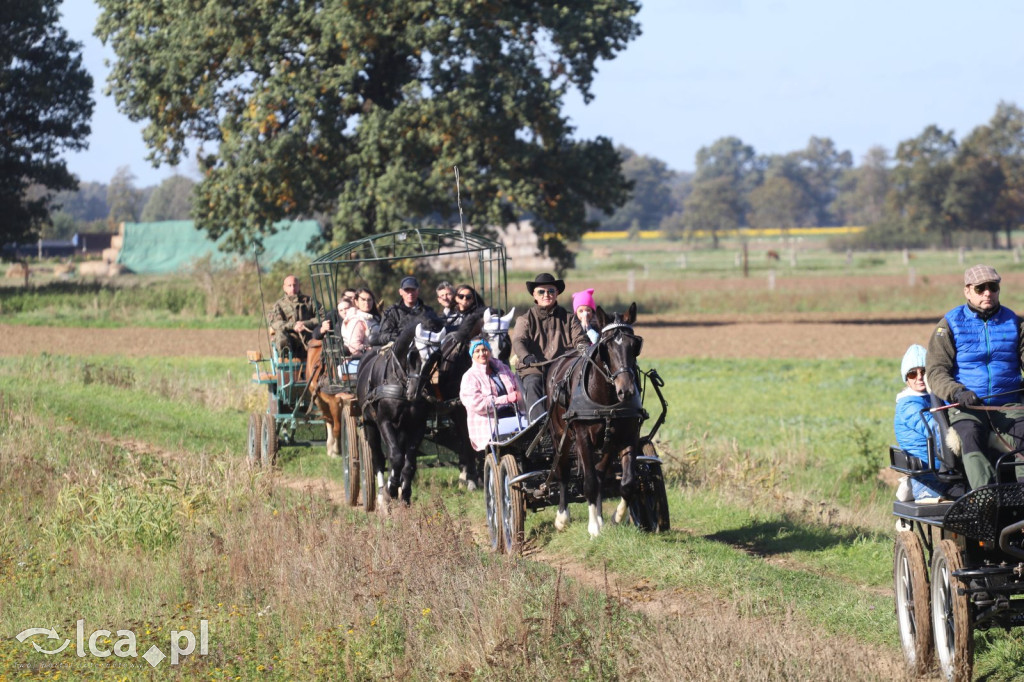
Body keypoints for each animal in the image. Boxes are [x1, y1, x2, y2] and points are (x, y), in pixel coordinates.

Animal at [356, 313, 444, 503]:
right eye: (413, 354)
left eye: (435, 359)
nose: (414, 393)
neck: (401, 381)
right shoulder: (384, 421)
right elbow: (395, 457)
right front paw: (391, 488)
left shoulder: (417, 425)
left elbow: (409, 463)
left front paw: (404, 494)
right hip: (369, 423)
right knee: (378, 458)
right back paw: (382, 496)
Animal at [544, 303, 638, 536]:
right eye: (607, 347)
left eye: (635, 345)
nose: (626, 391)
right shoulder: (582, 436)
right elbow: (589, 483)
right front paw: (593, 527)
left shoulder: (626, 435)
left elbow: (627, 482)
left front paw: (616, 517)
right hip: (560, 434)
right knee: (563, 471)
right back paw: (562, 517)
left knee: (601, 473)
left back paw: (602, 517)